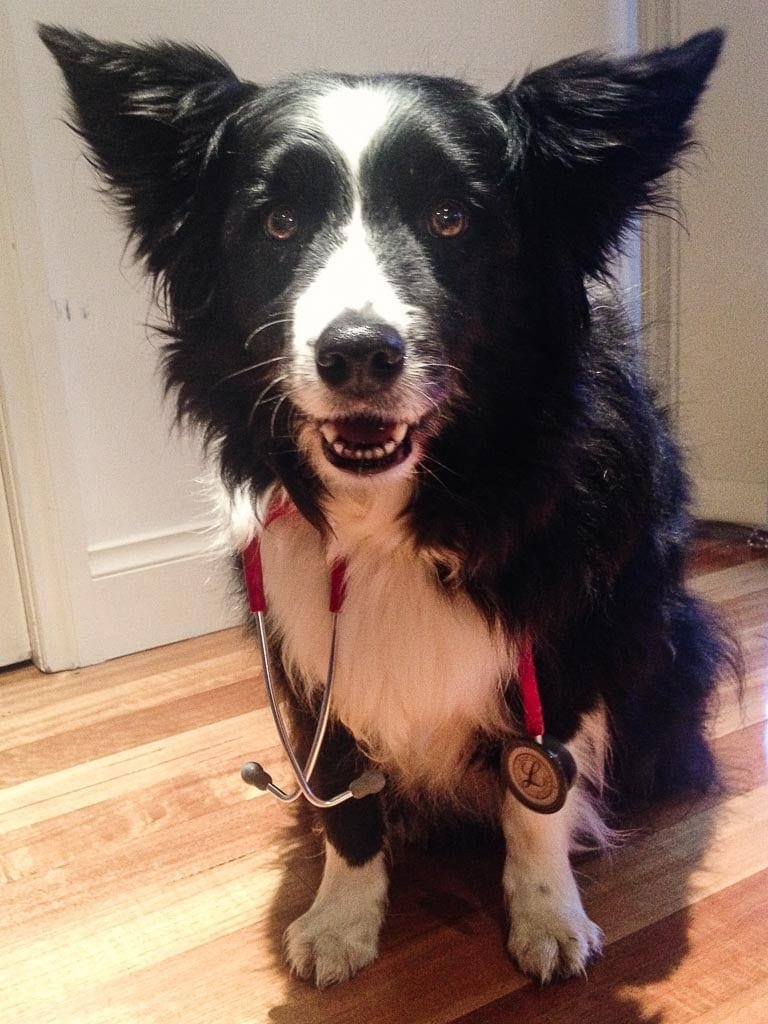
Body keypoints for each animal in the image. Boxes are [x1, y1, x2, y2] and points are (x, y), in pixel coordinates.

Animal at [43, 22, 733, 983]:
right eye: (279, 221)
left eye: (451, 216)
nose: (359, 354)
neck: (392, 514)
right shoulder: (309, 649)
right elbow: (344, 798)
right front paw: (342, 917)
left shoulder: (566, 634)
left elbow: (537, 794)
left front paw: (547, 914)